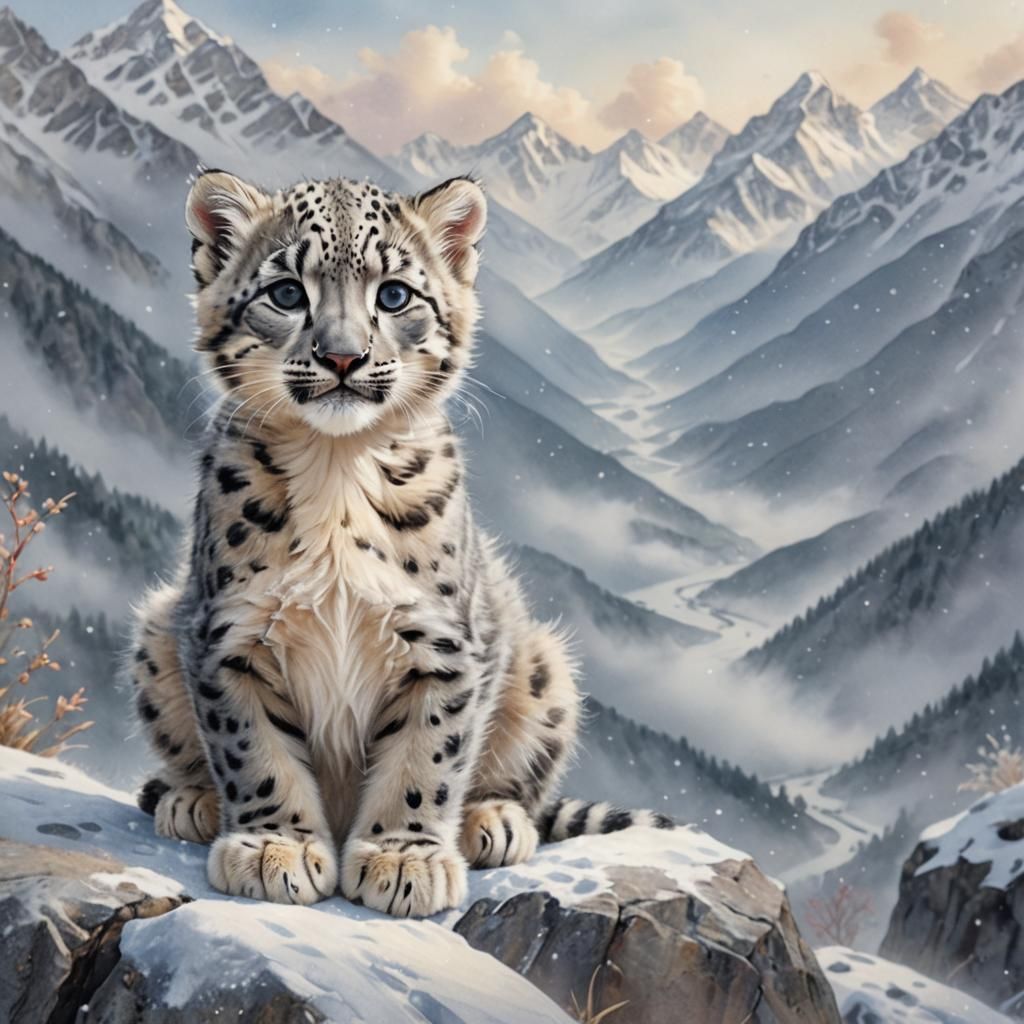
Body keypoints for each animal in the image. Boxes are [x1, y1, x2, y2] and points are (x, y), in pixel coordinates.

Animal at [129, 168, 673, 916]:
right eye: (286, 292)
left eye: (393, 295)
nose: (342, 356)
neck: (338, 469)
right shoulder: (229, 636)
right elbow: (254, 749)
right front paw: (276, 846)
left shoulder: (441, 643)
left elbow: (427, 756)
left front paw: (404, 859)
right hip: (158, 631)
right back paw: (192, 802)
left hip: (543, 666)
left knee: (514, 783)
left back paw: (493, 823)